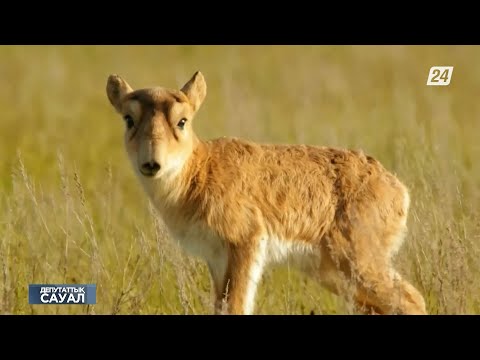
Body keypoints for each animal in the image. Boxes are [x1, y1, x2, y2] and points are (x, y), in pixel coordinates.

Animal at [106, 71, 428, 316]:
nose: (151, 164)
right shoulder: (216, 259)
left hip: (358, 263)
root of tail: (396, 188)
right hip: (334, 273)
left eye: (182, 121)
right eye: (128, 119)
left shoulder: (245, 244)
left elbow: (236, 307)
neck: (201, 169)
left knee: (412, 299)